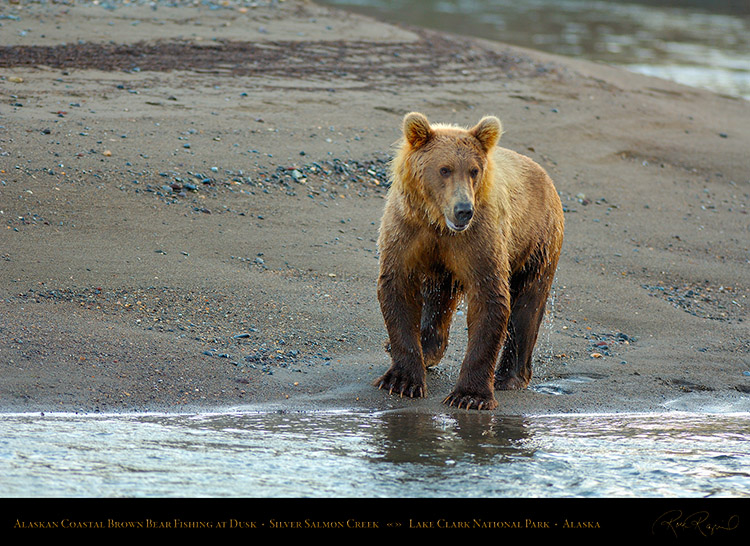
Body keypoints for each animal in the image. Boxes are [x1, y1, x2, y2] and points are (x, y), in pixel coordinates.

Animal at [376, 110, 564, 408]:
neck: (438, 222)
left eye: (474, 170)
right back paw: (427, 349)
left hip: (537, 242)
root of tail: (545, 176)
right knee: (438, 297)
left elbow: (489, 298)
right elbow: (398, 288)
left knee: (528, 306)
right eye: (445, 169)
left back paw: (509, 377)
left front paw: (469, 395)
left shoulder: (480, 238)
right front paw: (402, 380)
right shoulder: (407, 230)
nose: (464, 210)